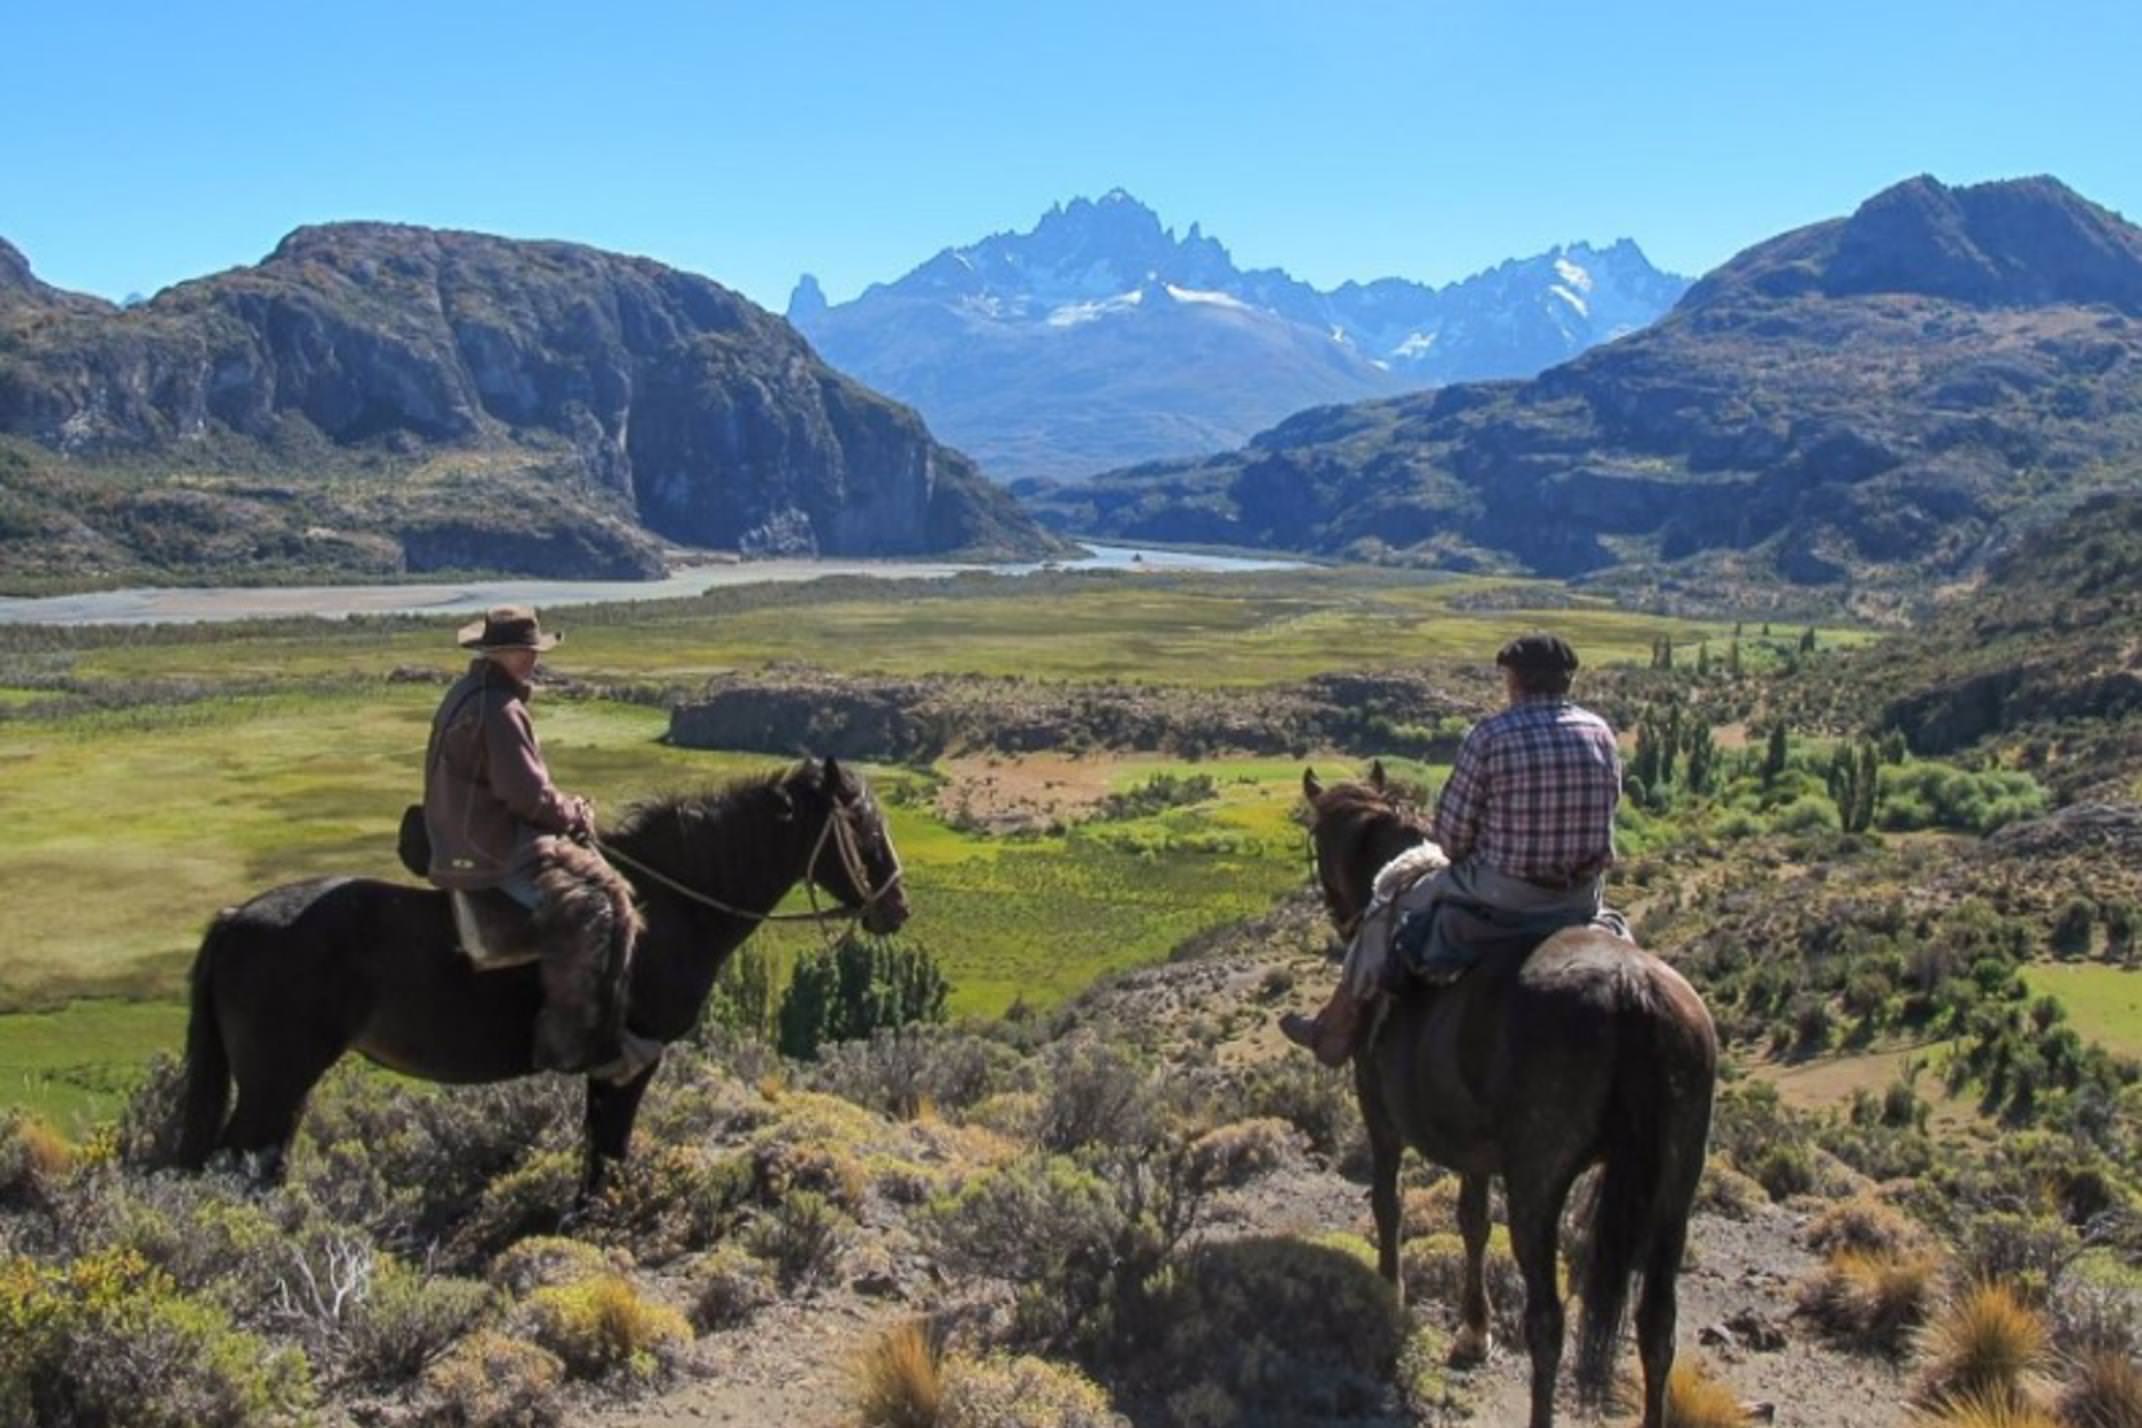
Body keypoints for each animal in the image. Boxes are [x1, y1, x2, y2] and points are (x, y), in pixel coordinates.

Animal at [171, 757, 899, 1207]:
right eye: (862, 826)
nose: (896, 906)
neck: (670, 907)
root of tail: (233, 919)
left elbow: (598, 1143)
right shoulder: (633, 1057)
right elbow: (610, 1145)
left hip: (285, 1085)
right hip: (274, 1080)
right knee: (231, 1163)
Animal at [1293, 770, 1713, 1428]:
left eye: (1315, 839)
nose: (1340, 916)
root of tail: (1631, 989)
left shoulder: (1380, 1118)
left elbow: (1389, 1205)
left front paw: (1390, 1296)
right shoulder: (1475, 1151)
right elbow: (1471, 1222)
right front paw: (1474, 1330)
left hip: (1539, 1184)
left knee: (1547, 1323)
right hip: (1676, 1186)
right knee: (1657, 1325)